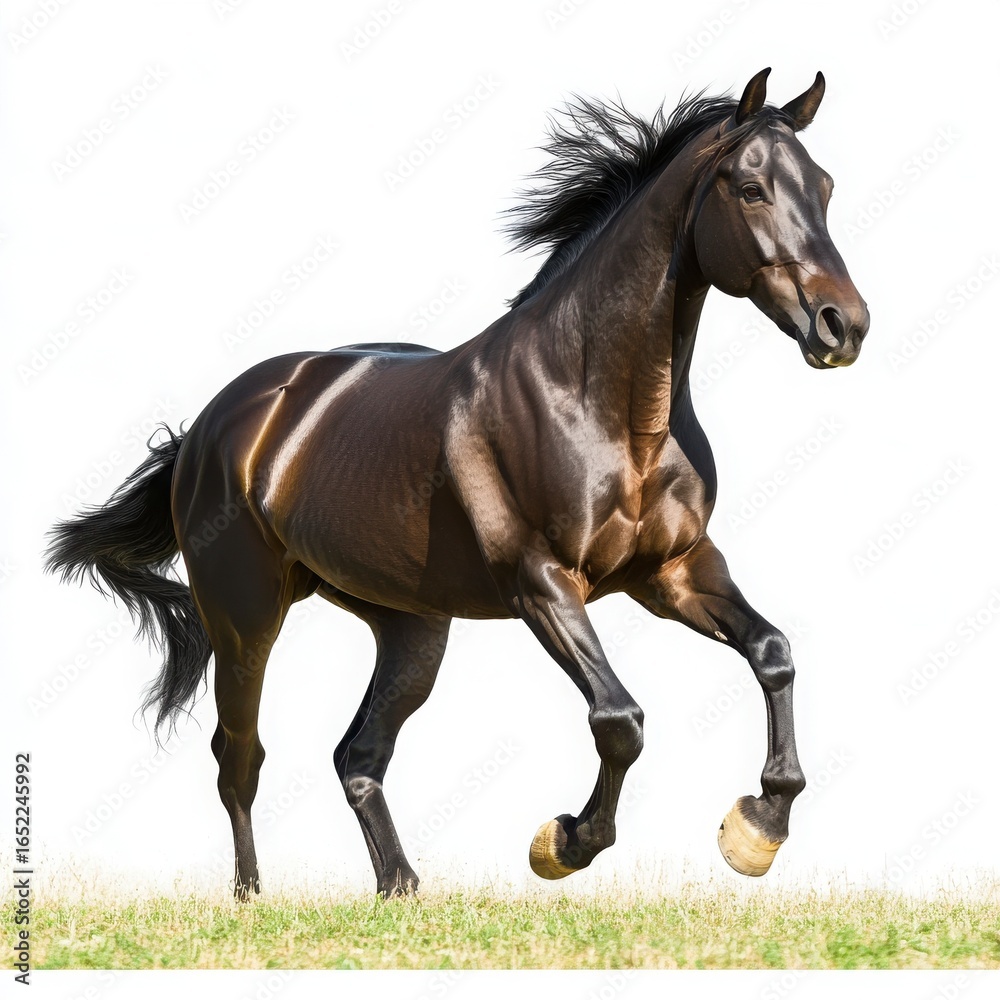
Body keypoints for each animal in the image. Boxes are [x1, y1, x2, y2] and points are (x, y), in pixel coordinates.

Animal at [46, 68, 869, 899]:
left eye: (825, 187)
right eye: (751, 188)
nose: (844, 326)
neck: (600, 403)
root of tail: (215, 425)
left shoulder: (672, 571)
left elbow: (772, 651)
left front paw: (757, 828)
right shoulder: (542, 583)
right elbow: (620, 720)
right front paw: (564, 842)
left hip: (410, 627)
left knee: (356, 756)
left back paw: (400, 889)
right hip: (244, 617)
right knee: (238, 757)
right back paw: (252, 900)